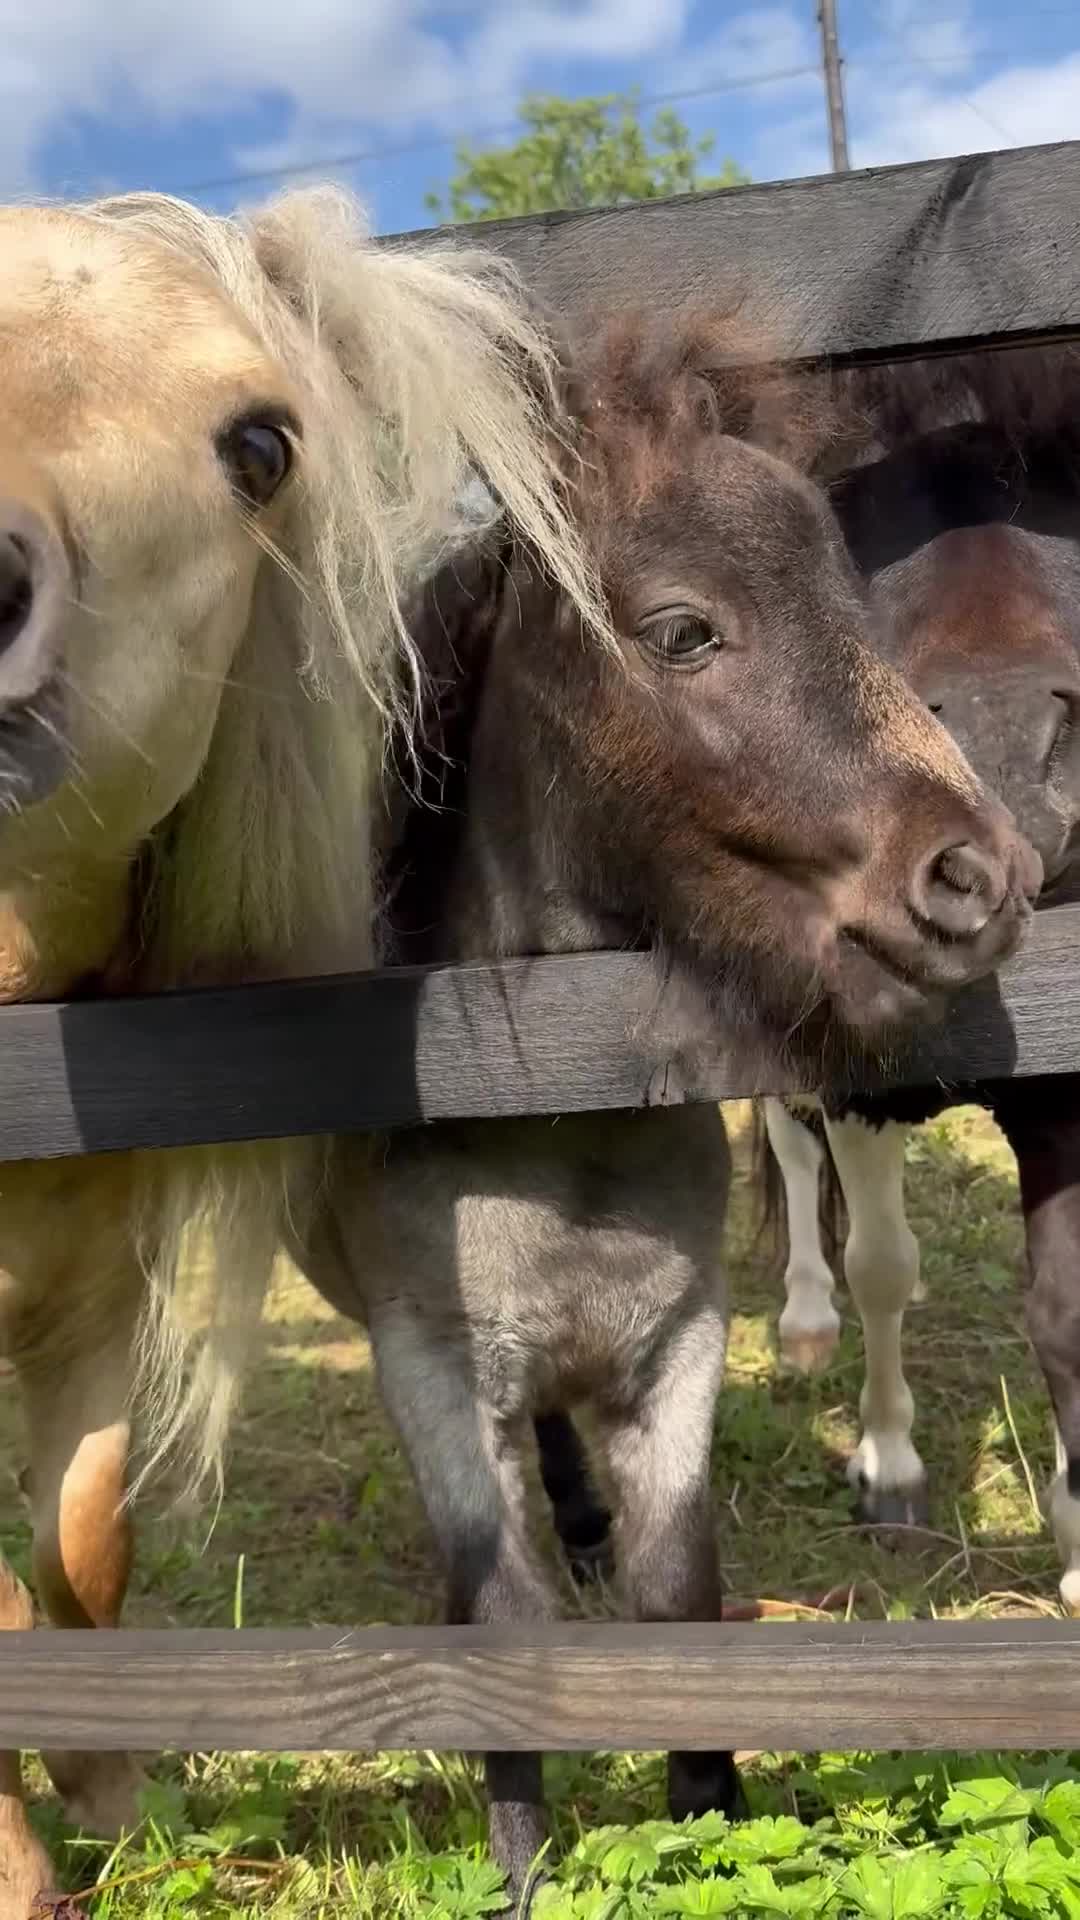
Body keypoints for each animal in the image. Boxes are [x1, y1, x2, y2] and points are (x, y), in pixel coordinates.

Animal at [294, 313, 1040, 1909]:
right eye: (687, 630)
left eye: (859, 606)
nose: (981, 877)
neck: (546, 1119)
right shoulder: (432, 1375)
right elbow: (503, 1633)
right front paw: (522, 1873)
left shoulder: (681, 1350)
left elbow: (678, 1595)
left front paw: (708, 1819)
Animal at [753, 345, 1080, 1606]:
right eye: (849, 496)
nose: (1002, 751)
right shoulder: (860, 1075)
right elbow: (879, 1264)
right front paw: (888, 1469)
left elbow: (1066, 1304)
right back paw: (802, 1320)